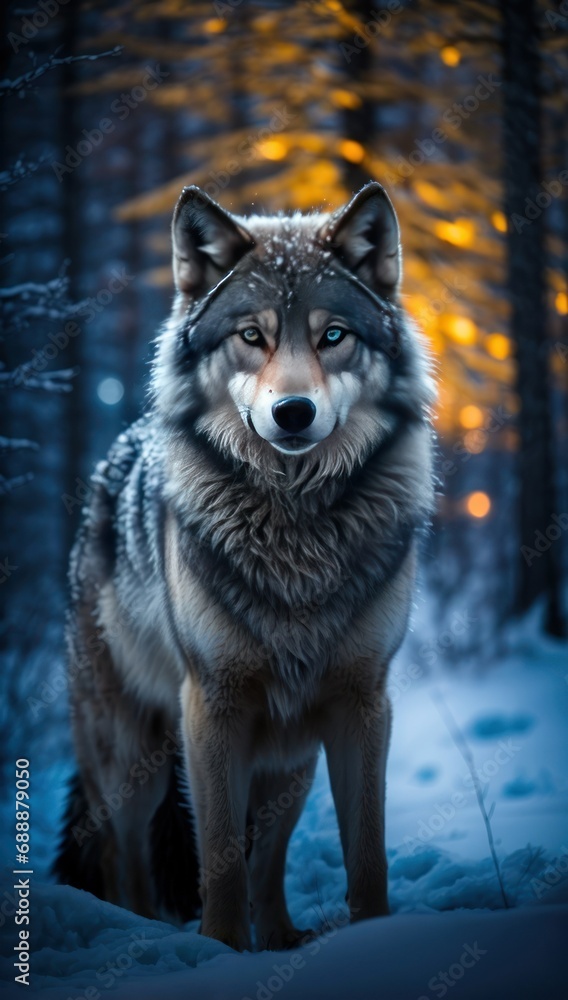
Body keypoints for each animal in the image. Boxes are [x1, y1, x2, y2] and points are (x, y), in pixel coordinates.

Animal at [55, 181, 436, 951]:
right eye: (251, 336)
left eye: (332, 335)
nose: (293, 412)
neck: (296, 530)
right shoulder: (212, 705)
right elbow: (222, 856)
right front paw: (222, 948)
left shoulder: (362, 703)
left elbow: (365, 852)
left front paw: (375, 940)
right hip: (131, 758)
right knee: (124, 858)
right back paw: (146, 936)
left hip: (289, 755)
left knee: (271, 856)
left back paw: (284, 937)